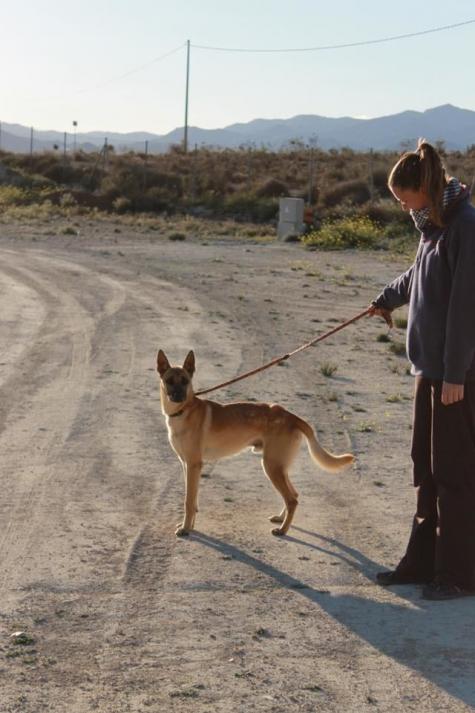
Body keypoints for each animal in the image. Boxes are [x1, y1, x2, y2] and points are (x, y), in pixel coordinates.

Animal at [158, 348, 356, 536]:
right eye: (169, 381)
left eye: (185, 381)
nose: (178, 396)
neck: (183, 411)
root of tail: (291, 416)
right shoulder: (187, 465)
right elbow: (193, 500)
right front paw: (190, 526)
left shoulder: (193, 465)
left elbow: (188, 501)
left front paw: (186, 529)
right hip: (279, 466)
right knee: (294, 494)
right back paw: (280, 519)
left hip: (271, 466)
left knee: (292, 499)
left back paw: (282, 530)